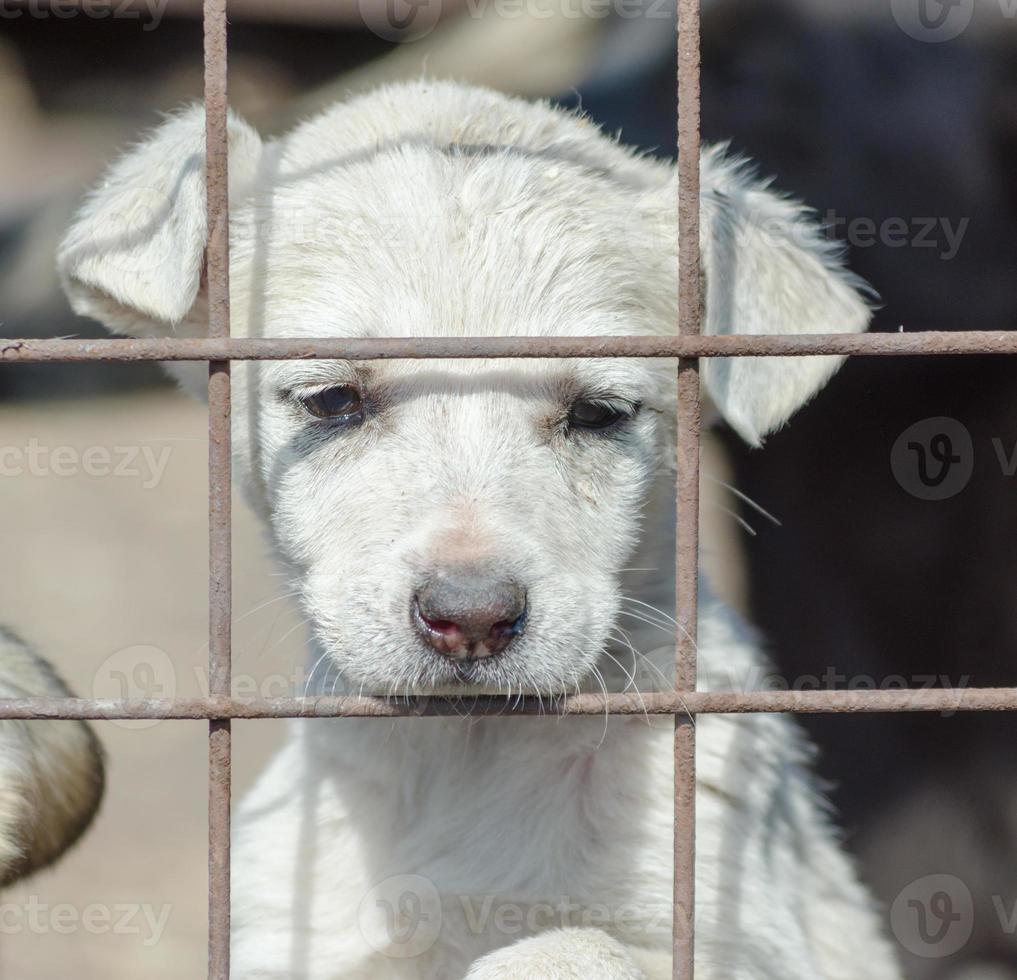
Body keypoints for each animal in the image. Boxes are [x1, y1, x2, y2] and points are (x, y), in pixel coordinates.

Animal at [57, 80, 899, 975]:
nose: (471, 619)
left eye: (599, 413)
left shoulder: (741, 924)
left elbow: (576, 943)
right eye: (332, 401)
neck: (466, 748)